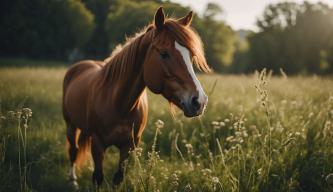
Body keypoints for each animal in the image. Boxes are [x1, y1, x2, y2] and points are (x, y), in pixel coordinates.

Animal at [62, 6, 210, 187]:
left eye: (191, 56)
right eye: (164, 53)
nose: (199, 101)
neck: (118, 103)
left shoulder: (129, 146)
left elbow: (118, 178)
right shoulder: (98, 143)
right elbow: (98, 177)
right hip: (70, 125)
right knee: (73, 151)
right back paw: (73, 180)